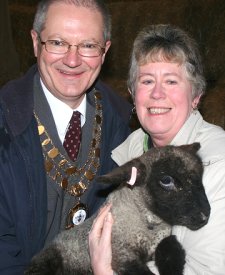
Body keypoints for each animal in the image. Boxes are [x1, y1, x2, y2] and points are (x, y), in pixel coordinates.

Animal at [25, 143, 211, 274]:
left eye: (200, 176)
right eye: (166, 180)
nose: (205, 215)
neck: (148, 223)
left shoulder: (163, 241)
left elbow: (172, 255)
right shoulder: (121, 254)